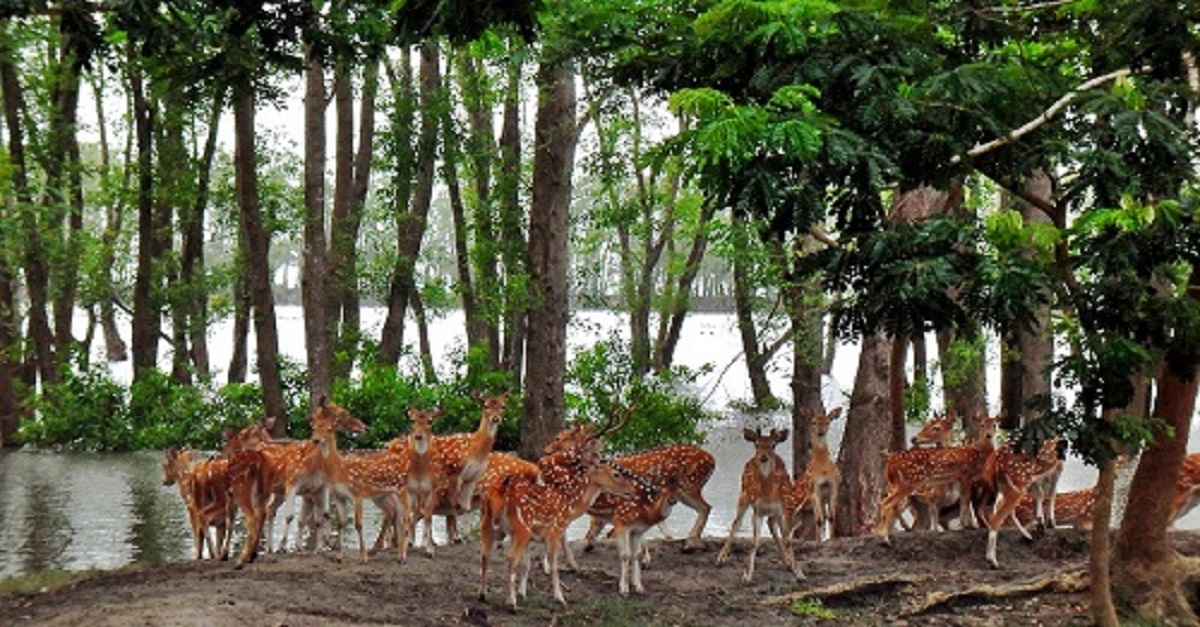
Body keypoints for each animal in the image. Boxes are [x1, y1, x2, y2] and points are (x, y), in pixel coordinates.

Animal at [715, 425, 801, 581]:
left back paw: (787, 561)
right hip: (743, 494)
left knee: (772, 525)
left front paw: (798, 572)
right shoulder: (757, 510)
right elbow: (754, 542)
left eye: (773, 445)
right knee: (736, 523)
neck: (768, 494)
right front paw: (747, 575)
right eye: (757, 444)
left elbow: (787, 539)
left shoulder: (782, 508)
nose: (763, 457)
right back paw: (720, 558)